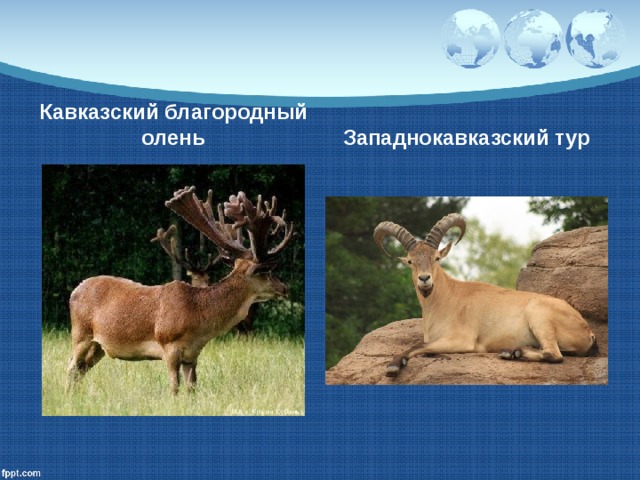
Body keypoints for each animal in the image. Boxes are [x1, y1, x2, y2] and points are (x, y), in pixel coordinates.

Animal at [67, 187, 294, 394]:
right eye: (265, 271)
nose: (284, 288)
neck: (199, 320)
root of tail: (74, 290)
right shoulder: (168, 345)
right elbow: (174, 387)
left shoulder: (192, 355)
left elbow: (192, 388)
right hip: (80, 334)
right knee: (70, 367)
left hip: (99, 346)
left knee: (80, 371)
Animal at [373, 213, 599, 378]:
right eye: (410, 261)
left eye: (436, 258)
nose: (424, 279)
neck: (446, 299)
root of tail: (587, 331)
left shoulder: (462, 340)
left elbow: (419, 345)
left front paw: (394, 365)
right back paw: (512, 351)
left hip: (539, 315)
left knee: (554, 354)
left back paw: (513, 352)